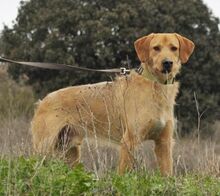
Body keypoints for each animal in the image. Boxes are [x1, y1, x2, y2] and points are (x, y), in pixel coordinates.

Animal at [31, 33, 194, 175]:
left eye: (174, 48)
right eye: (156, 48)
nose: (167, 63)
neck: (156, 86)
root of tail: (43, 101)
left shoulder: (164, 143)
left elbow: (167, 174)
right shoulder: (129, 141)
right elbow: (122, 175)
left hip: (70, 151)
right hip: (44, 147)